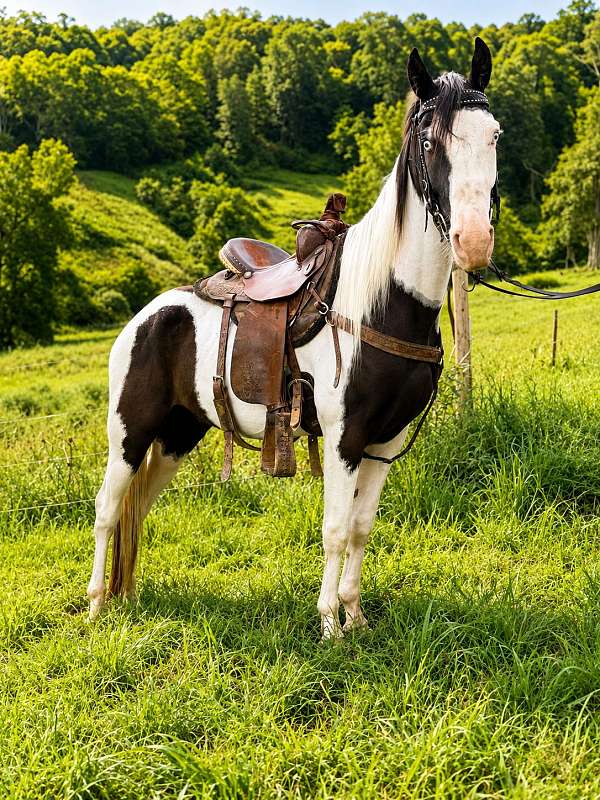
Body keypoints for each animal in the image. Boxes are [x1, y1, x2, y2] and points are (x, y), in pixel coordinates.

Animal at [87, 38, 501, 639]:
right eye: (430, 142)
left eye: (494, 135)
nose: (474, 242)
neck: (380, 303)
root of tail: (144, 318)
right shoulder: (345, 439)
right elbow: (335, 529)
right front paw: (329, 624)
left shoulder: (385, 443)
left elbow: (361, 528)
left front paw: (356, 616)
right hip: (129, 433)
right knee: (107, 509)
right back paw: (97, 603)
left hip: (176, 436)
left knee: (135, 511)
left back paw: (130, 597)